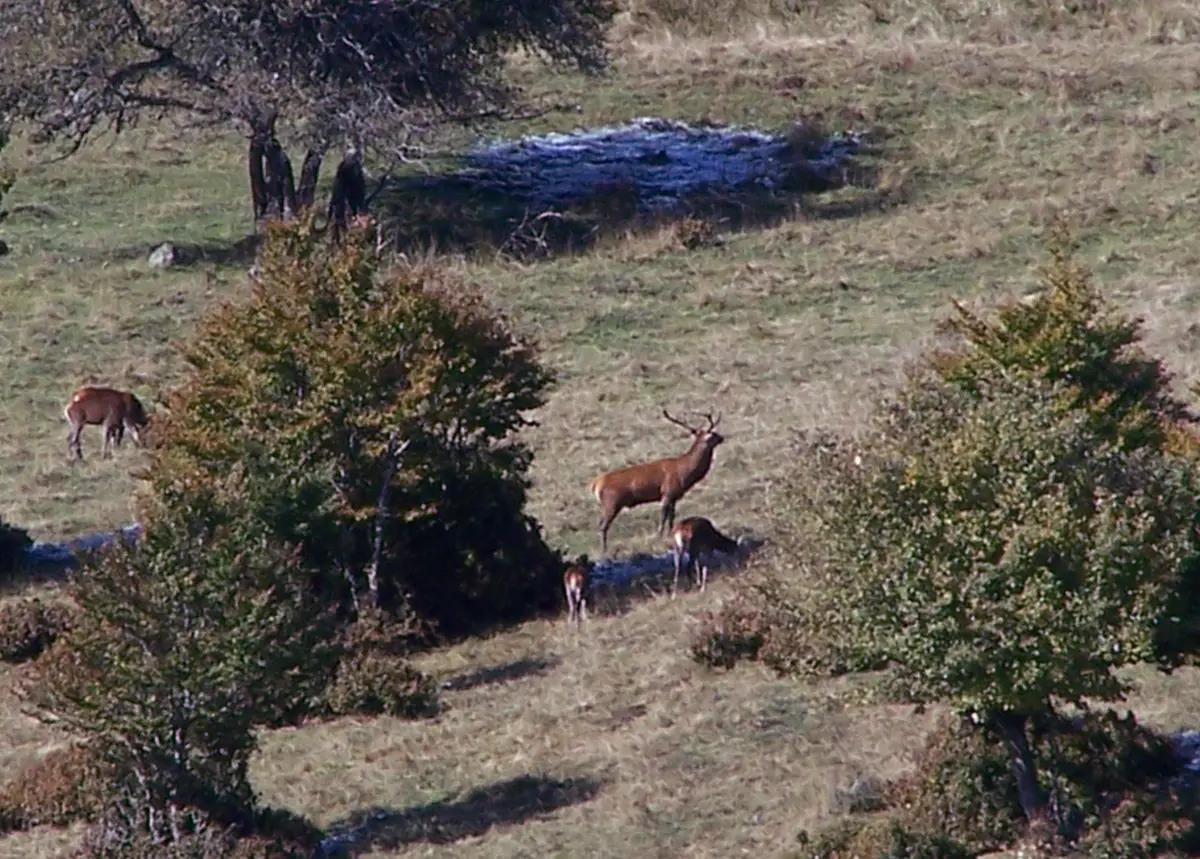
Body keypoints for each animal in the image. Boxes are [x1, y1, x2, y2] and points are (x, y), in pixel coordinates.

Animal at [589, 408, 724, 555]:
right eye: (712, 435)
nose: (722, 437)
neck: (684, 473)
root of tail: (596, 484)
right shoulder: (667, 492)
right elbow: (663, 517)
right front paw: (659, 537)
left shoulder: (674, 496)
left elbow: (671, 517)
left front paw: (670, 533)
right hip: (612, 502)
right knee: (603, 526)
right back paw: (604, 550)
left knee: (600, 524)